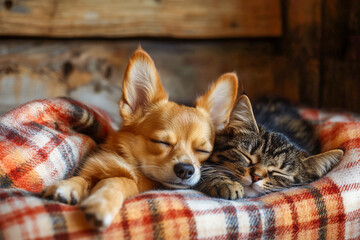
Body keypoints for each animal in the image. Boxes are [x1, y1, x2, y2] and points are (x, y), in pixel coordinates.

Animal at [43, 47, 239, 230]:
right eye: (161, 142)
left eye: (203, 150)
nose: (186, 169)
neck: (129, 161)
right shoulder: (92, 169)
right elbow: (82, 178)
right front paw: (67, 186)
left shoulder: (136, 184)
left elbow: (119, 180)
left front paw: (101, 203)